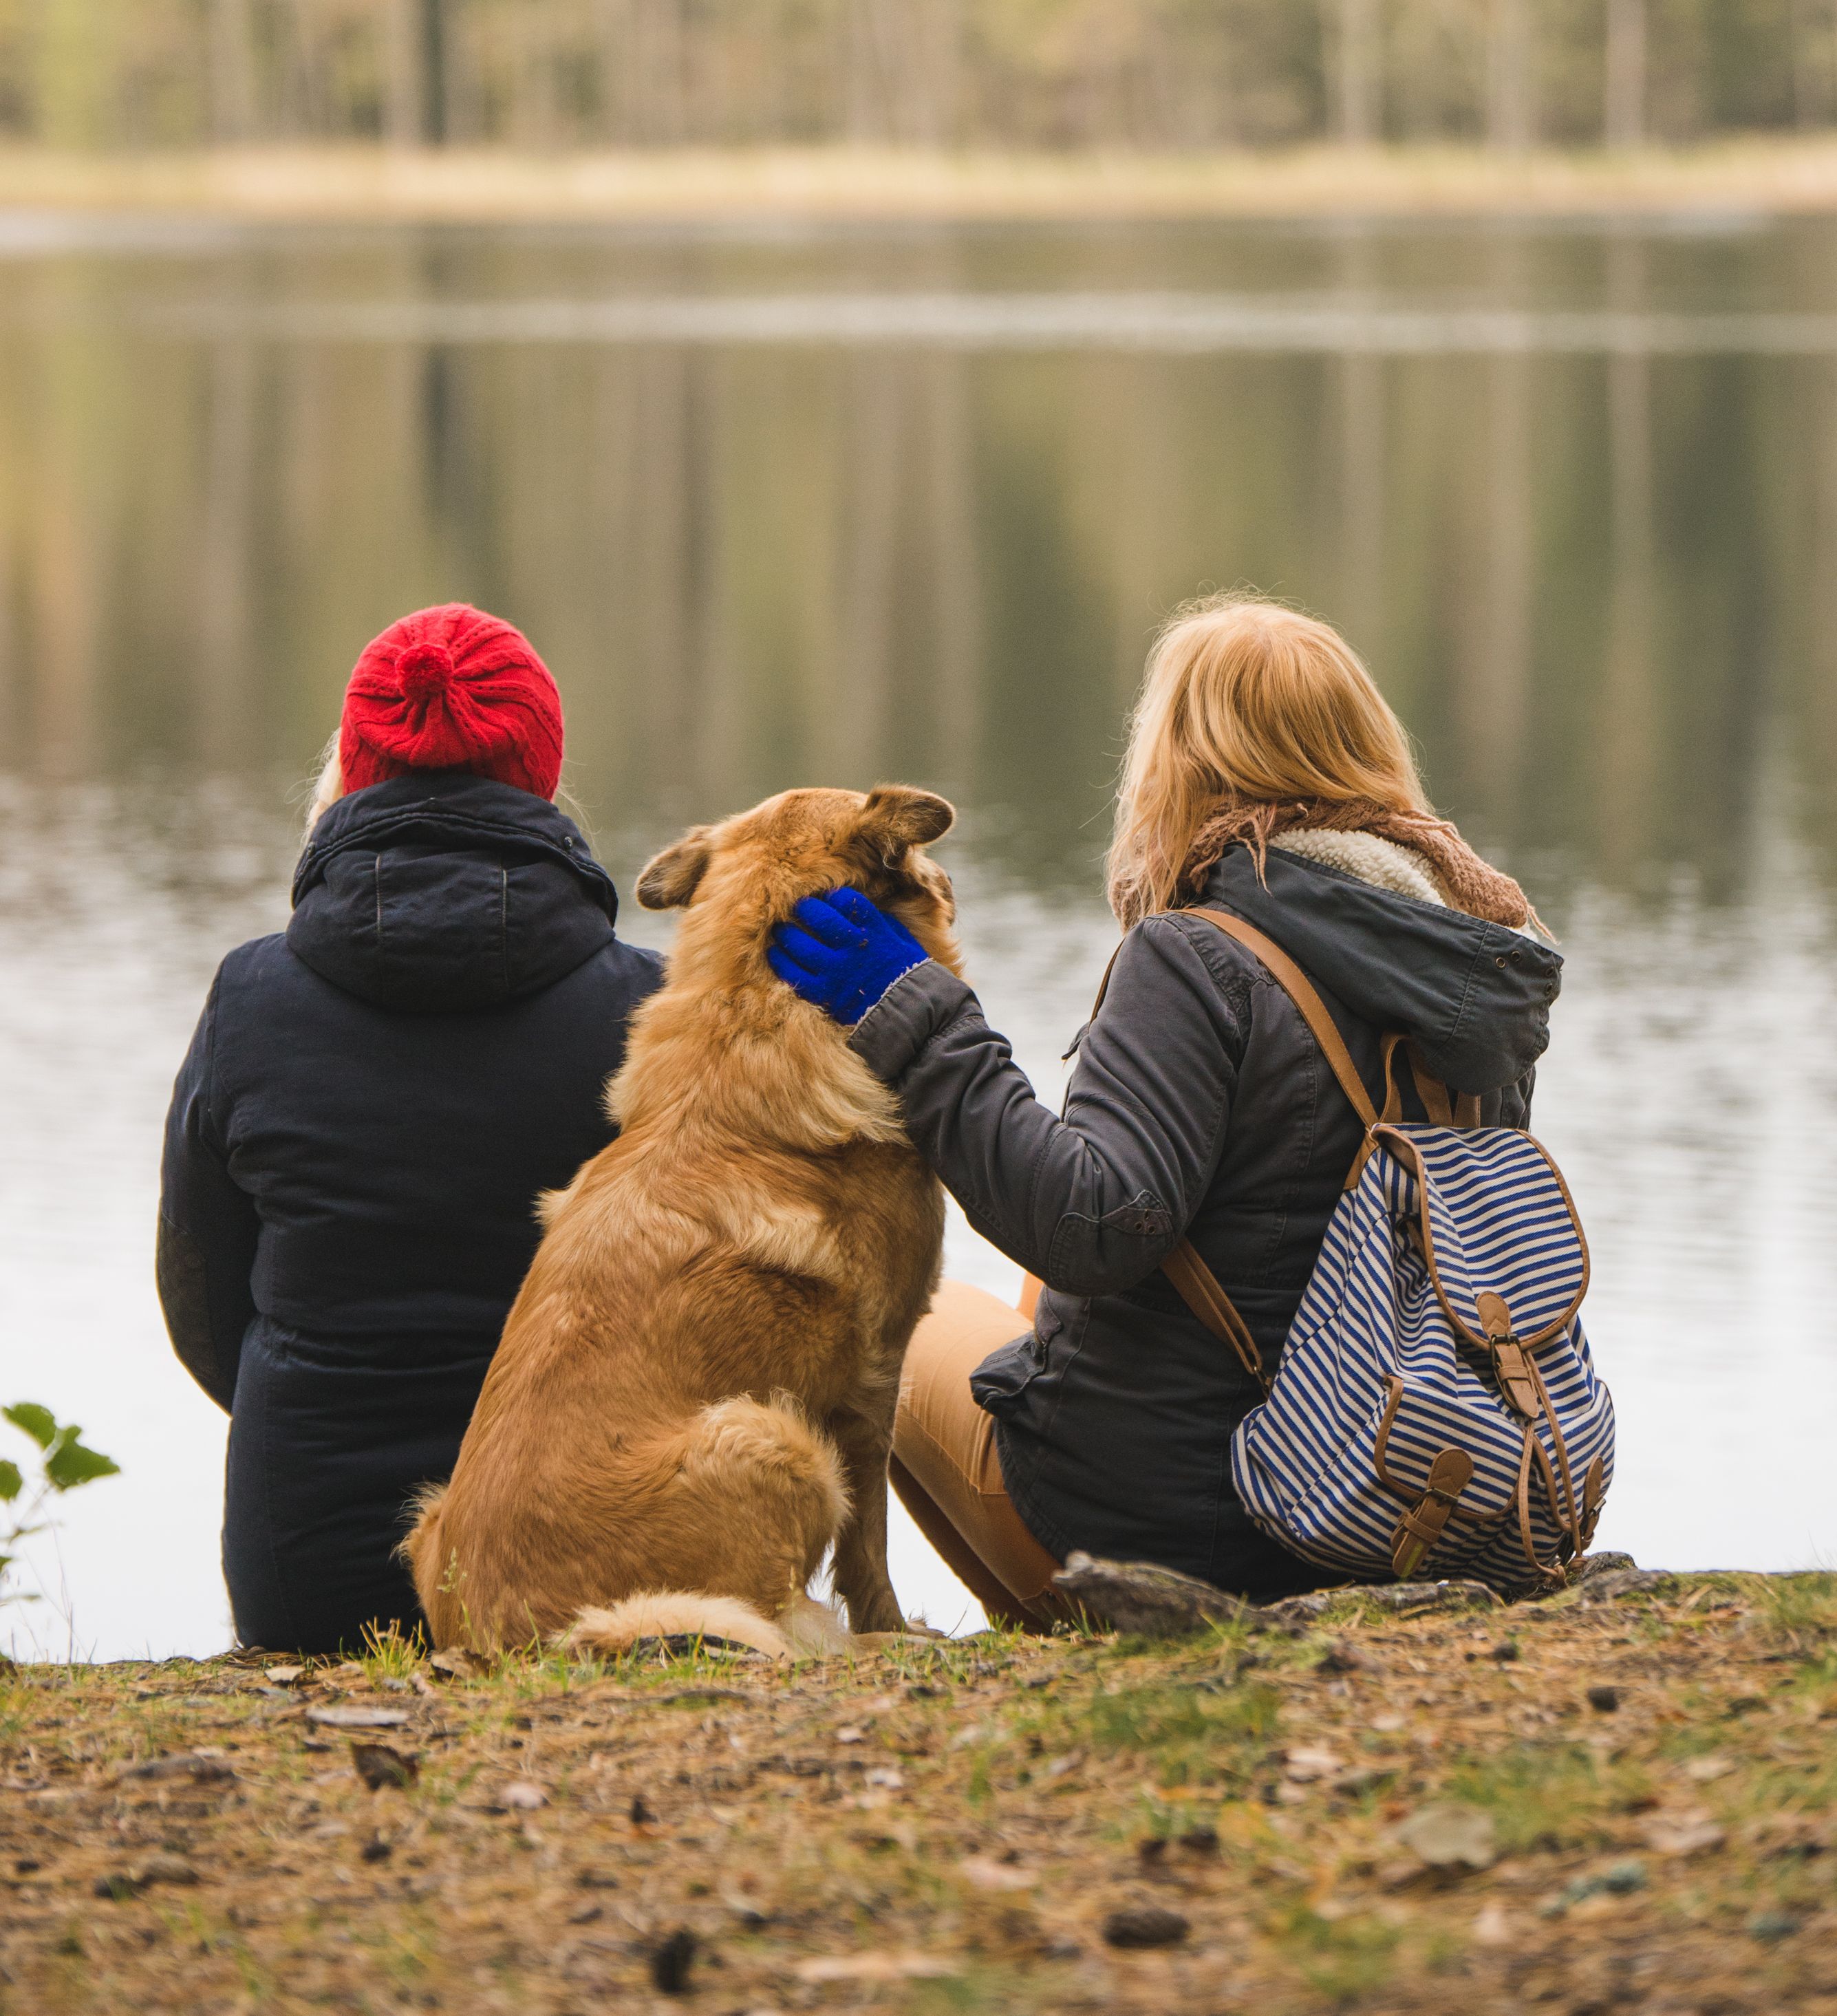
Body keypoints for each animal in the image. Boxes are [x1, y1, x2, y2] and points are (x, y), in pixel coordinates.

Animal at [405, 782, 963, 1653]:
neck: (746, 1017)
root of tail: (514, 1637)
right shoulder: (877, 1374)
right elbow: (868, 1540)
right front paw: (893, 1625)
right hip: (774, 1434)